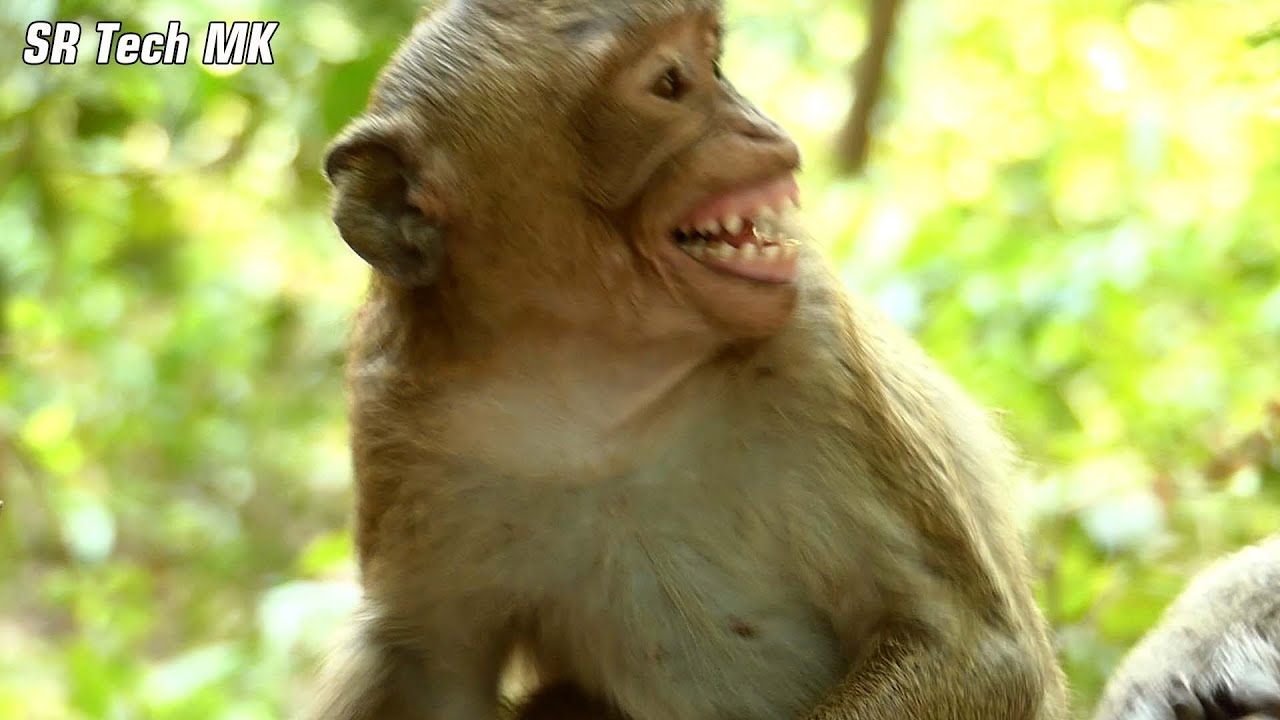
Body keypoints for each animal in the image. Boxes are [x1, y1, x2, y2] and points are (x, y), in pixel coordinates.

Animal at [300, 1, 1070, 719]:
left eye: (716, 65)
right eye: (670, 83)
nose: (762, 130)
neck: (593, 389)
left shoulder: (815, 345)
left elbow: (972, 651)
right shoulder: (394, 417)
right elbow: (427, 670)